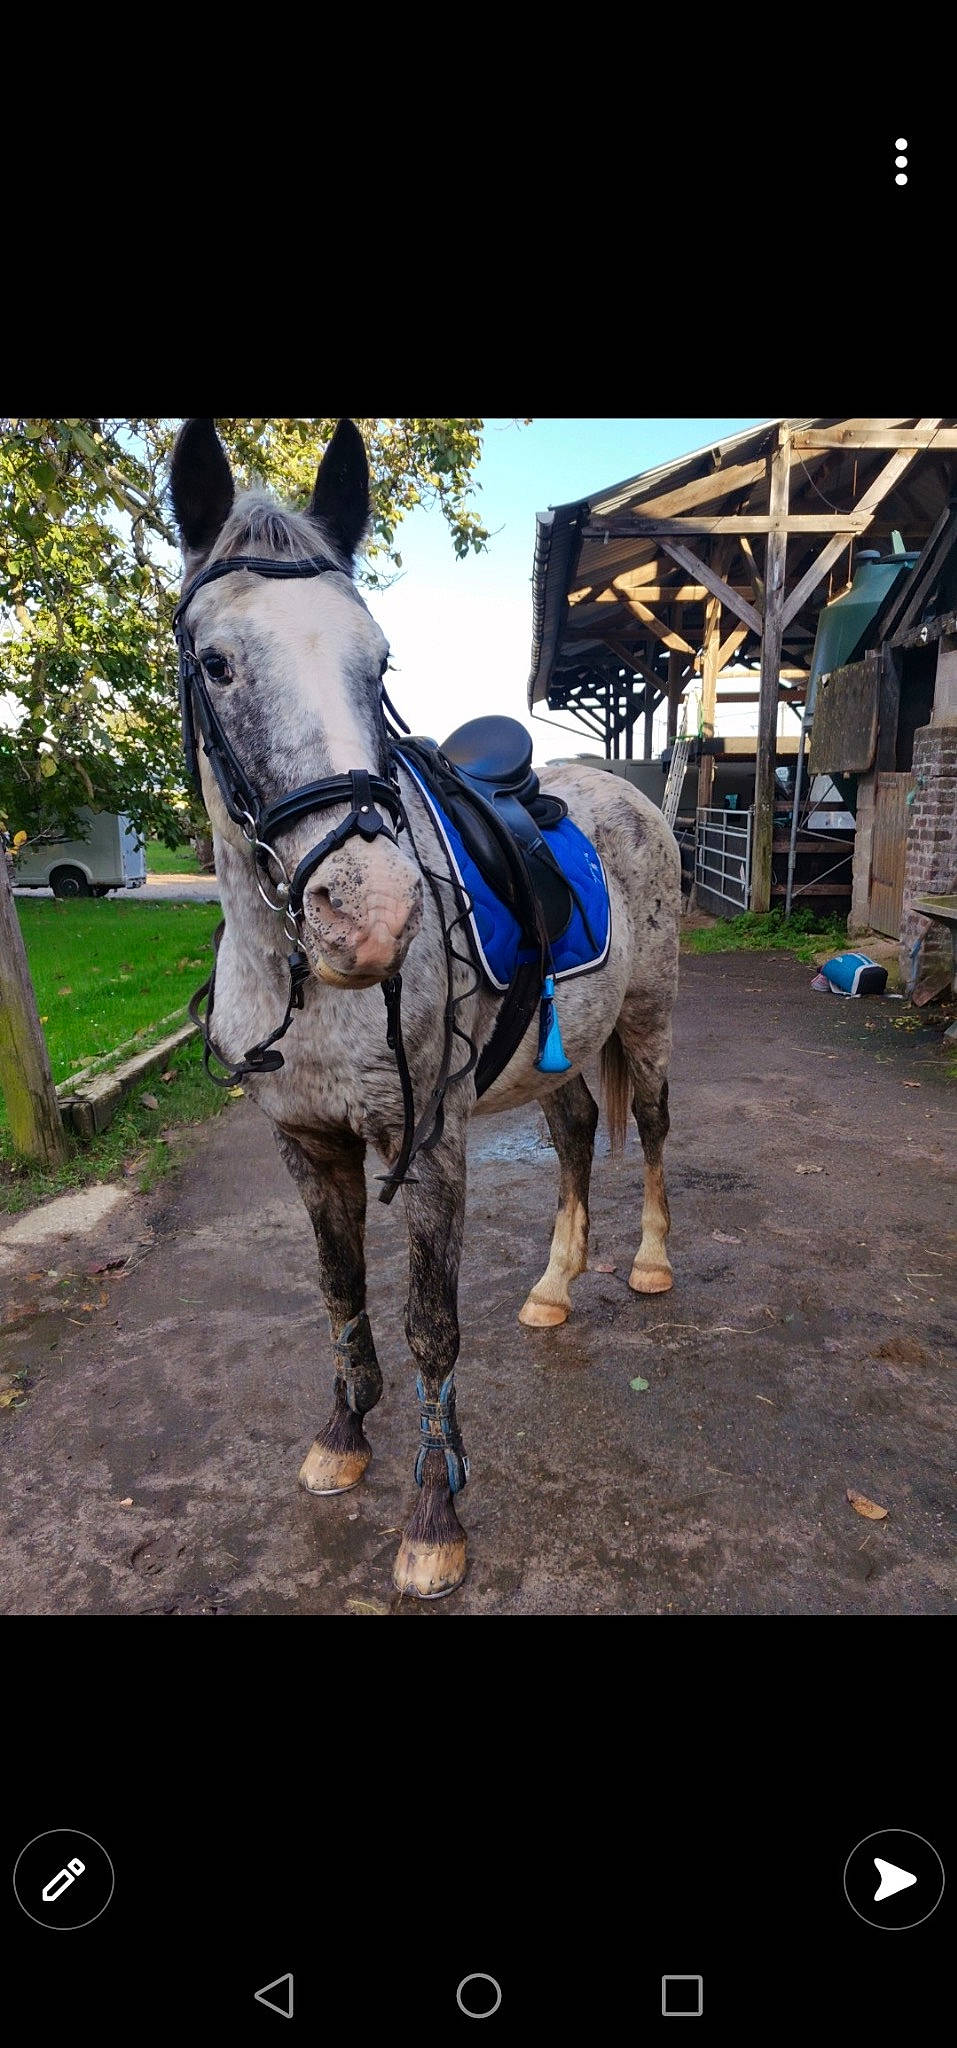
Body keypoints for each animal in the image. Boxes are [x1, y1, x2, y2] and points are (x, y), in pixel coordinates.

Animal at [169, 418, 680, 1600]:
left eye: (380, 662)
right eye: (216, 661)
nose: (370, 913)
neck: (302, 979)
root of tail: (628, 791)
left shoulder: (430, 1137)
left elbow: (431, 1325)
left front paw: (434, 1516)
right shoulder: (308, 1142)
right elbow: (338, 1287)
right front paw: (342, 1433)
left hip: (646, 1020)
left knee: (652, 1128)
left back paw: (647, 1262)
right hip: (559, 1050)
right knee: (576, 1134)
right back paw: (554, 1284)